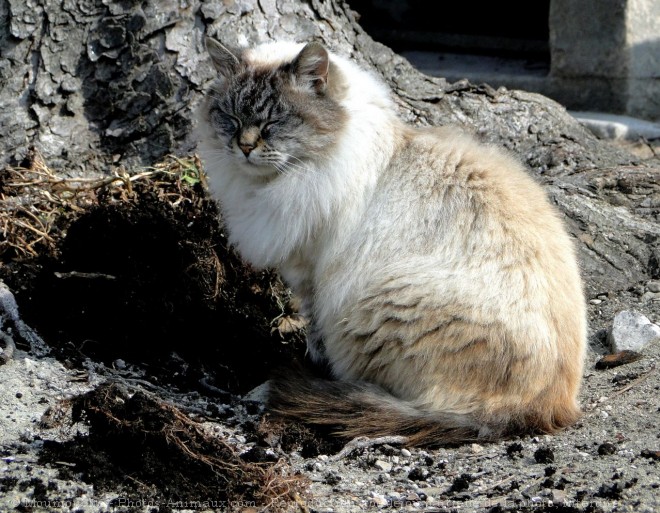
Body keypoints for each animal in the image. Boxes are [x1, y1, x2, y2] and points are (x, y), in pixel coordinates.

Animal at [197, 38, 588, 444]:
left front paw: (315, 368)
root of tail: (545, 408)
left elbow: (316, 337)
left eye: (272, 123)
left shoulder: (312, 277)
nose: (244, 147)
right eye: (230, 118)